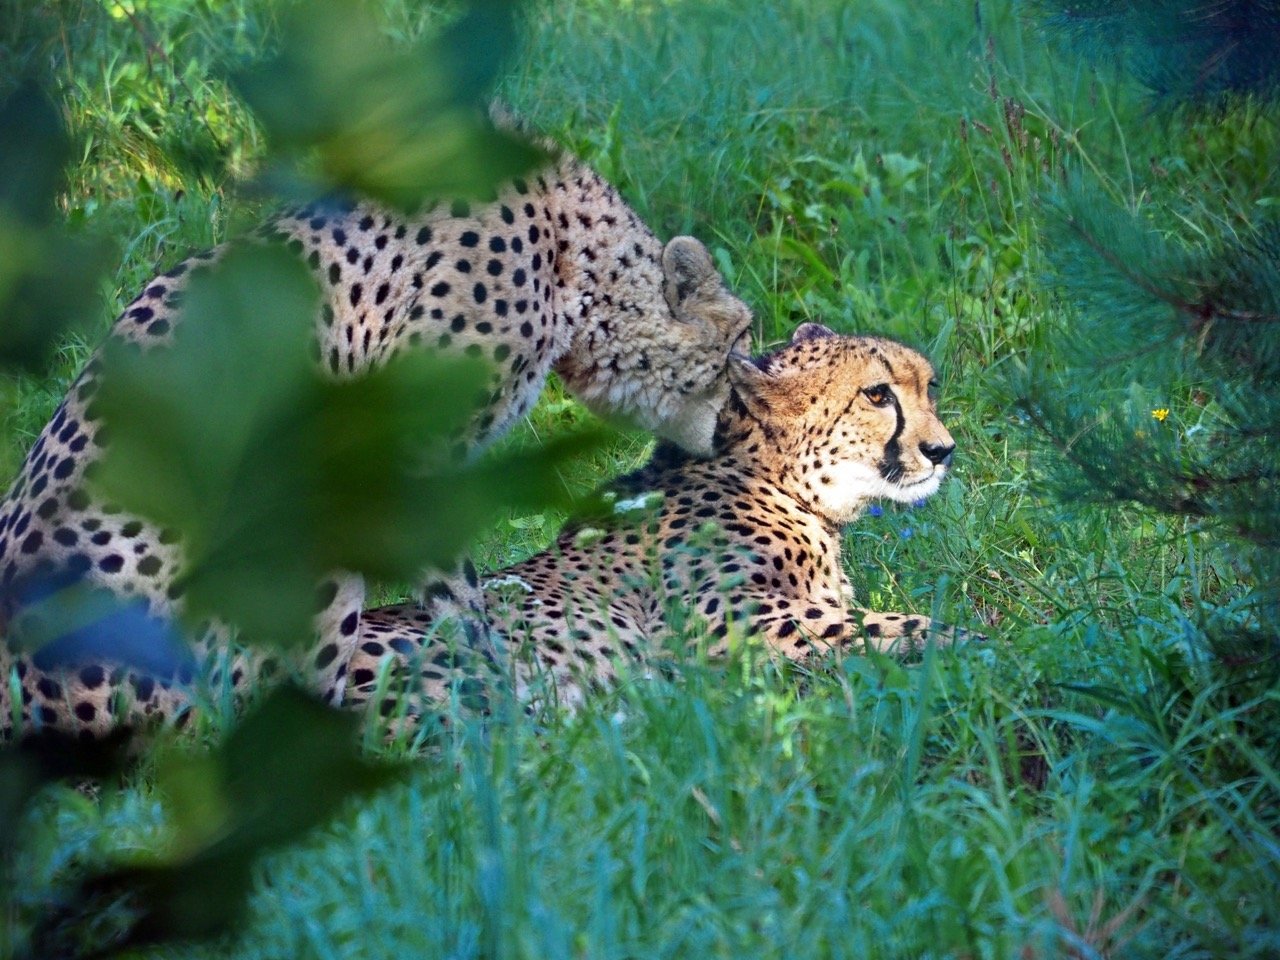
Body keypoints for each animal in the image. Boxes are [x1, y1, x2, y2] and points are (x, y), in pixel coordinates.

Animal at [0, 127, 753, 742]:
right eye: (742, 344)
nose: (746, 397)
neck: (573, 257)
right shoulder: (409, 455)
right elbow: (463, 604)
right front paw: (514, 719)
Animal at [339, 322, 967, 732]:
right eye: (878, 394)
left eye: (929, 387)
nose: (942, 451)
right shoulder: (717, 621)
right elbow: (894, 625)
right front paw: (977, 645)